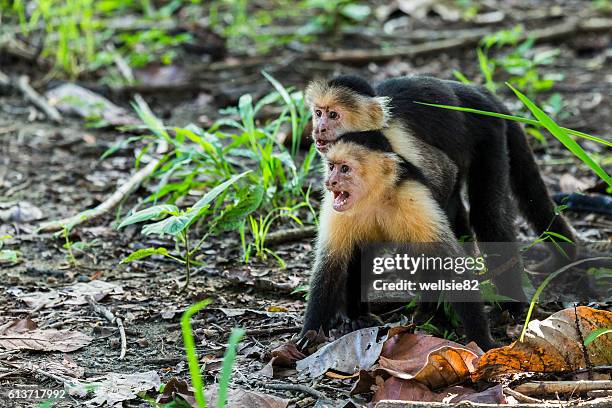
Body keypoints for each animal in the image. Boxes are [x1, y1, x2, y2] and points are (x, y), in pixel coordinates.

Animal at [302, 130, 498, 350]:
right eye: (331, 166)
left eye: (345, 168)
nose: (330, 182)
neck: (373, 197)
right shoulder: (336, 209)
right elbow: (329, 266)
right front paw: (308, 334)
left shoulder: (412, 196)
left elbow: (449, 263)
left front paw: (482, 341)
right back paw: (357, 317)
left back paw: (429, 314)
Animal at [306, 75, 580, 310]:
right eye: (318, 113)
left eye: (333, 115)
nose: (319, 129)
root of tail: (478, 92)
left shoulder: (395, 140)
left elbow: (442, 178)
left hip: (488, 131)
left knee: (486, 214)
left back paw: (509, 304)